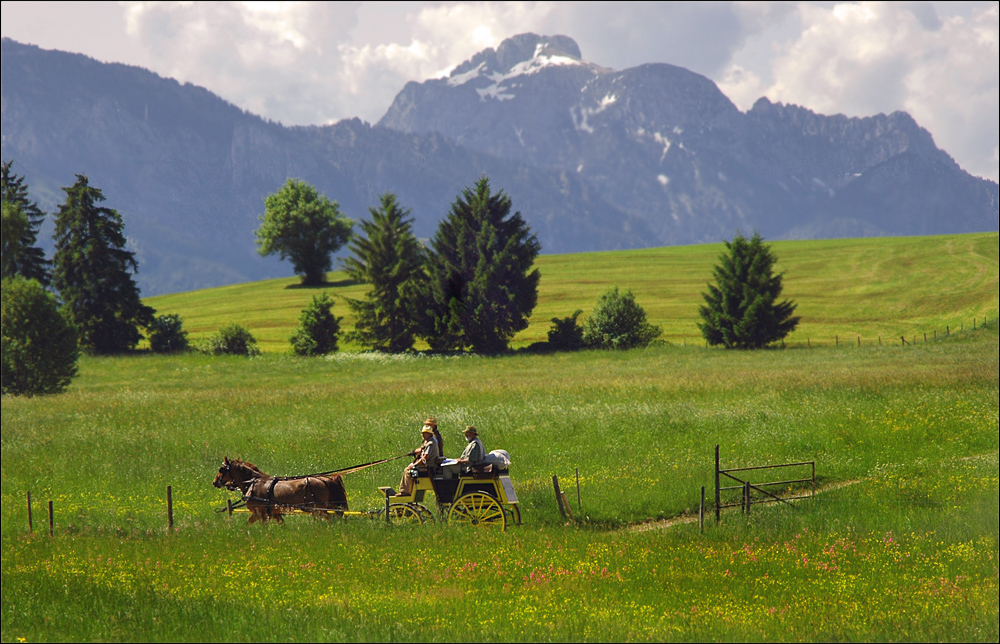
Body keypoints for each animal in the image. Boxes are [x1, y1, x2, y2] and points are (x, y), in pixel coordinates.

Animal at [213, 458, 350, 524]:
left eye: (221, 469)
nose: (214, 482)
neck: (253, 483)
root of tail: (325, 479)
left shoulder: (260, 513)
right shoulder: (274, 514)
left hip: (319, 509)